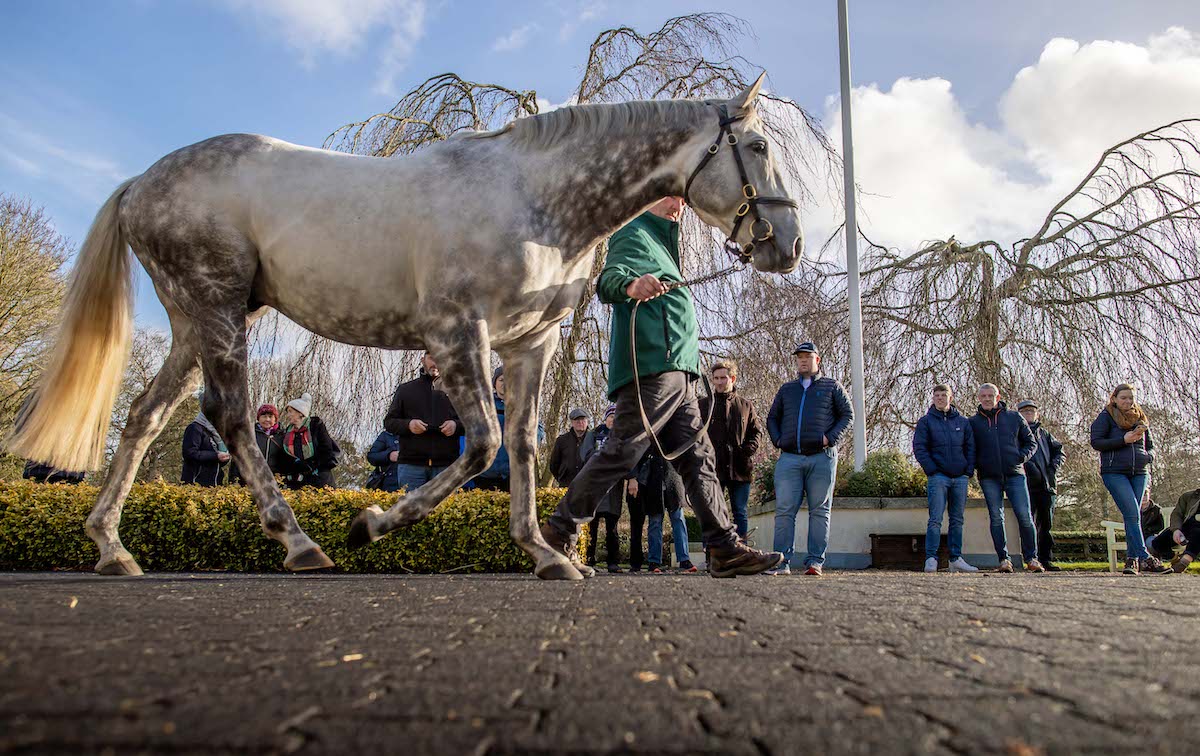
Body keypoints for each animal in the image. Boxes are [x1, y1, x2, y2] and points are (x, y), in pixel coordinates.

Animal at [9, 74, 801, 580]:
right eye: (760, 148)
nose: (788, 244)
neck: (534, 195)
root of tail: (139, 184)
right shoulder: (454, 332)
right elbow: (481, 445)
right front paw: (371, 523)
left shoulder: (529, 342)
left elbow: (521, 442)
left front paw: (545, 553)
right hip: (217, 305)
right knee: (230, 417)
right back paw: (301, 543)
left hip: (193, 321)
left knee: (145, 416)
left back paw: (112, 548)